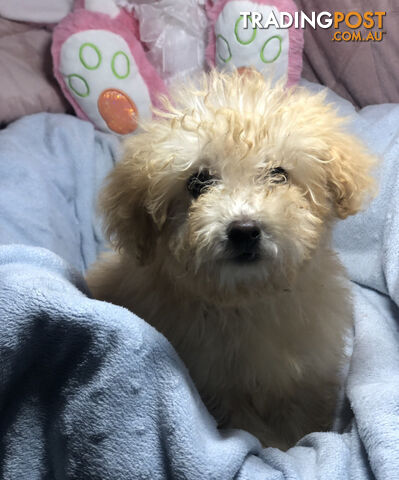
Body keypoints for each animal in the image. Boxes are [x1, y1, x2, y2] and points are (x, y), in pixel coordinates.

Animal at [86, 69, 376, 448]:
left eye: (279, 174)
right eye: (197, 182)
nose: (244, 230)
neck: (247, 300)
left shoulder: (305, 376)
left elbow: (301, 420)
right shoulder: (220, 391)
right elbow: (254, 432)